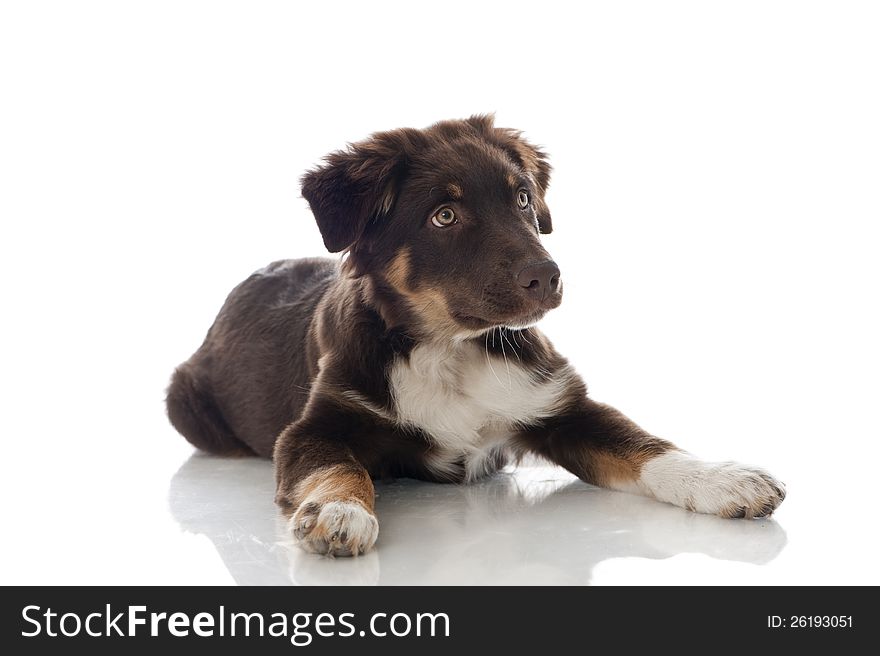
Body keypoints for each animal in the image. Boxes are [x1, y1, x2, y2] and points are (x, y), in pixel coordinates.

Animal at [165, 115, 784, 556]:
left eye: (523, 198)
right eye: (445, 215)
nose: (549, 277)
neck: (453, 347)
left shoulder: (561, 406)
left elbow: (645, 445)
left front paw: (723, 480)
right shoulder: (316, 427)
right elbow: (335, 467)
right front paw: (340, 513)